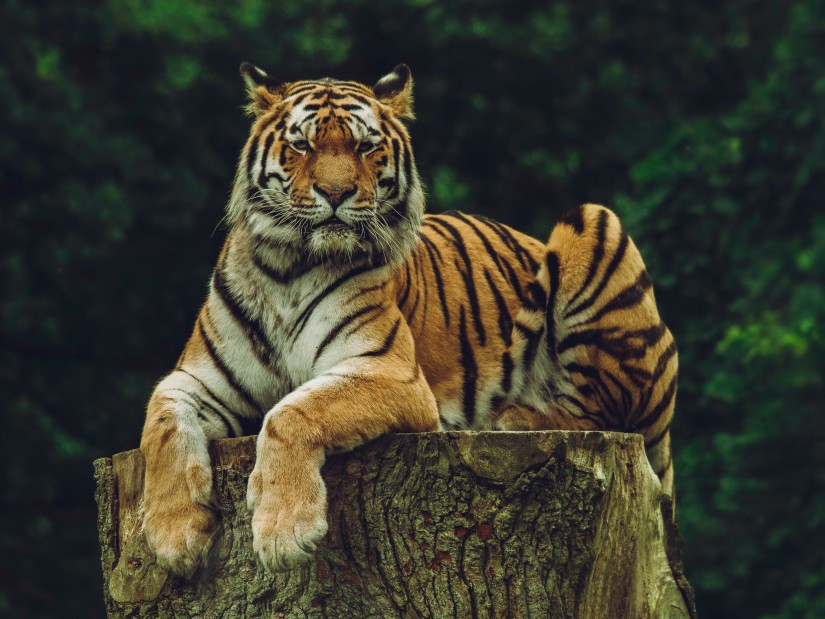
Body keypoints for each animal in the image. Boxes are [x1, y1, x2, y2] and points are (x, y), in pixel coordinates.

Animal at [140, 63, 676, 576]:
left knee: (605, 411)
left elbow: (291, 412)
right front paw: (173, 537)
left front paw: (284, 531)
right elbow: (161, 428)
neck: (288, 269)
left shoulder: (389, 371)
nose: (336, 192)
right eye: (302, 144)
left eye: (365, 146)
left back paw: (516, 417)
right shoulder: (197, 379)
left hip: (595, 223)